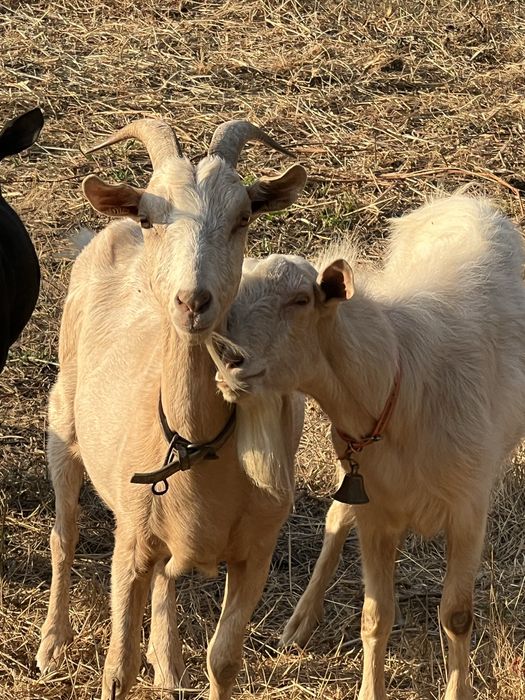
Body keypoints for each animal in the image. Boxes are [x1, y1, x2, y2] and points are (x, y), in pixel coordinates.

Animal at [36, 118, 306, 700]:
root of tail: (108, 230)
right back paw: (53, 643)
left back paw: (169, 664)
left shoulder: (256, 551)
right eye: (150, 216)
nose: (193, 301)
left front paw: (182, 664)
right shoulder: (129, 544)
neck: (194, 446)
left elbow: (223, 660)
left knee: (167, 578)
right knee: (64, 534)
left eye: (243, 217)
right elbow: (118, 667)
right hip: (63, 423)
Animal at [212, 194, 525, 700]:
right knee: (337, 516)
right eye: (232, 300)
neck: (396, 378)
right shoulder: (376, 512)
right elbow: (375, 617)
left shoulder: (468, 509)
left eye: (301, 300)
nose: (228, 358)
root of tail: (461, 197)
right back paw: (300, 621)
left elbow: (456, 616)